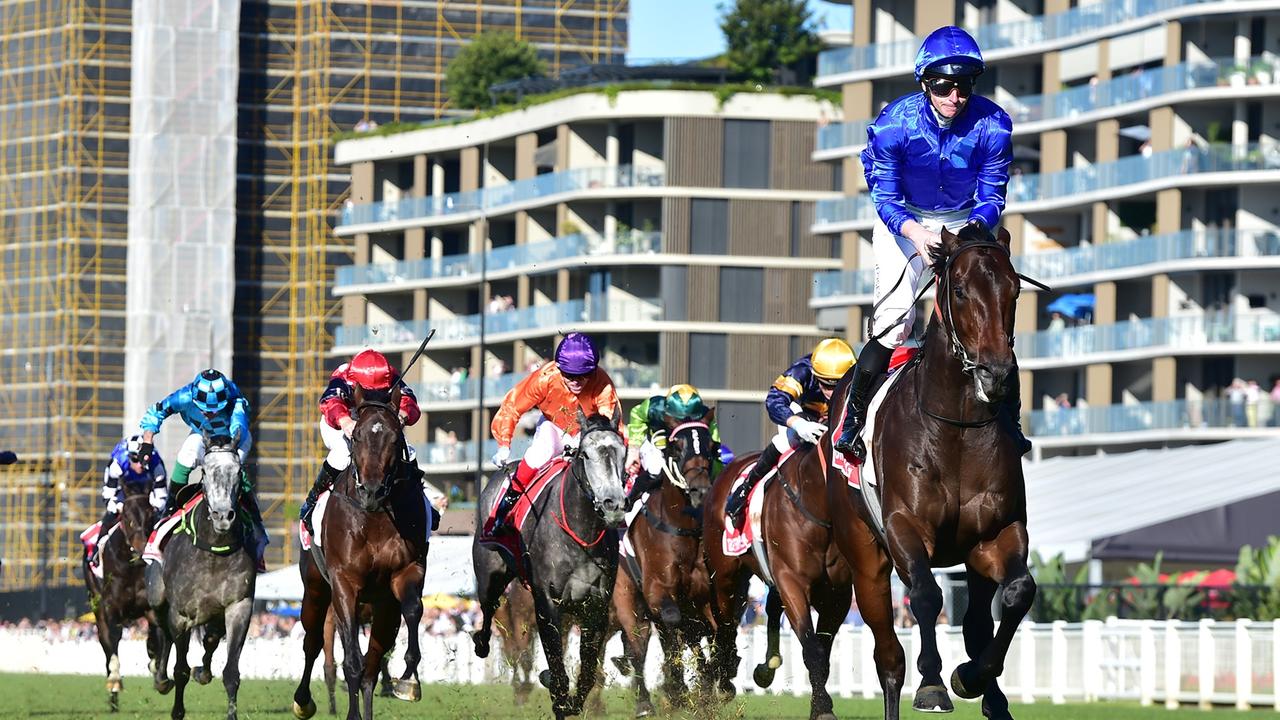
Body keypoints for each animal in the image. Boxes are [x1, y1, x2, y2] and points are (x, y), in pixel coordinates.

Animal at [85, 481, 174, 707]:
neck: (131, 566)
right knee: (105, 642)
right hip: (97, 607)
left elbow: (157, 639)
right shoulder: (111, 608)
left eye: (151, 514)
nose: (142, 551)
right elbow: (113, 640)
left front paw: (159, 674)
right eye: (126, 516)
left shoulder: (151, 608)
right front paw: (115, 681)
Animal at [293, 386, 427, 717]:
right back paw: (303, 701)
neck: (375, 516)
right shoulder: (344, 582)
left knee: (373, 663)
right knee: (313, 642)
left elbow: (413, 609)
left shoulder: (406, 572)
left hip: (383, 607)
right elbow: (350, 660)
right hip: (316, 590)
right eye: (356, 437)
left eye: (395, 438)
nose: (372, 491)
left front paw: (409, 680)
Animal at [611, 409, 721, 712]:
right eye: (677, 447)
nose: (700, 491)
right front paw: (679, 686)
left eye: (711, 446)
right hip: (626, 599)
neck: (681, 528)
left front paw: (709, 685)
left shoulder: (703, 595)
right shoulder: (658, 590)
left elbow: (711, 629)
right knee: (639, 647)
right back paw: (646, 702)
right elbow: (677, 625)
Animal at [706, 438, 855, 717]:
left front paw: (818, 705)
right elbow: (811, 647)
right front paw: (823, 706)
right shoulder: (791, 581)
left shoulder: (837, 595)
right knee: (725, 623)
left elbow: (823, 652)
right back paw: (724, 679)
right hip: (726, 576)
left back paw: (766, 666)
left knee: (770, 607)